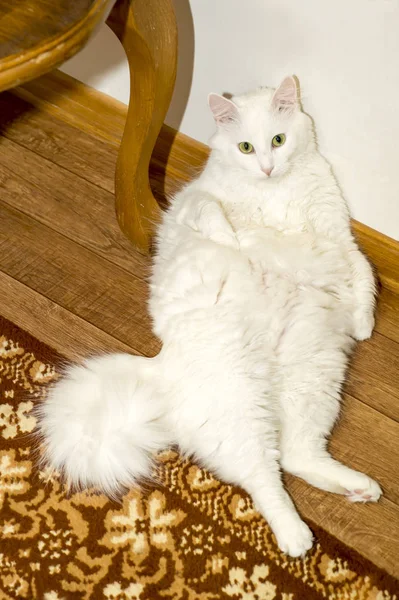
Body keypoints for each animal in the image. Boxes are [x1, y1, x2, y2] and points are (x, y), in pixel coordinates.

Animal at [38, 76, 384, 556]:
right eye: (245, 147)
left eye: (278, 141)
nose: (267, 169)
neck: (273, 191)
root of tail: (161, 367)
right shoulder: (192, 201)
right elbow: (211, 211)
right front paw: (232, 240)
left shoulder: (338, 233)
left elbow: (363, 273)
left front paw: (363, 323)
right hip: (242, 405)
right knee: (265, 476)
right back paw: (297, 538)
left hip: (313, 381)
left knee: (296, 455)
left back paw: (359, 489)